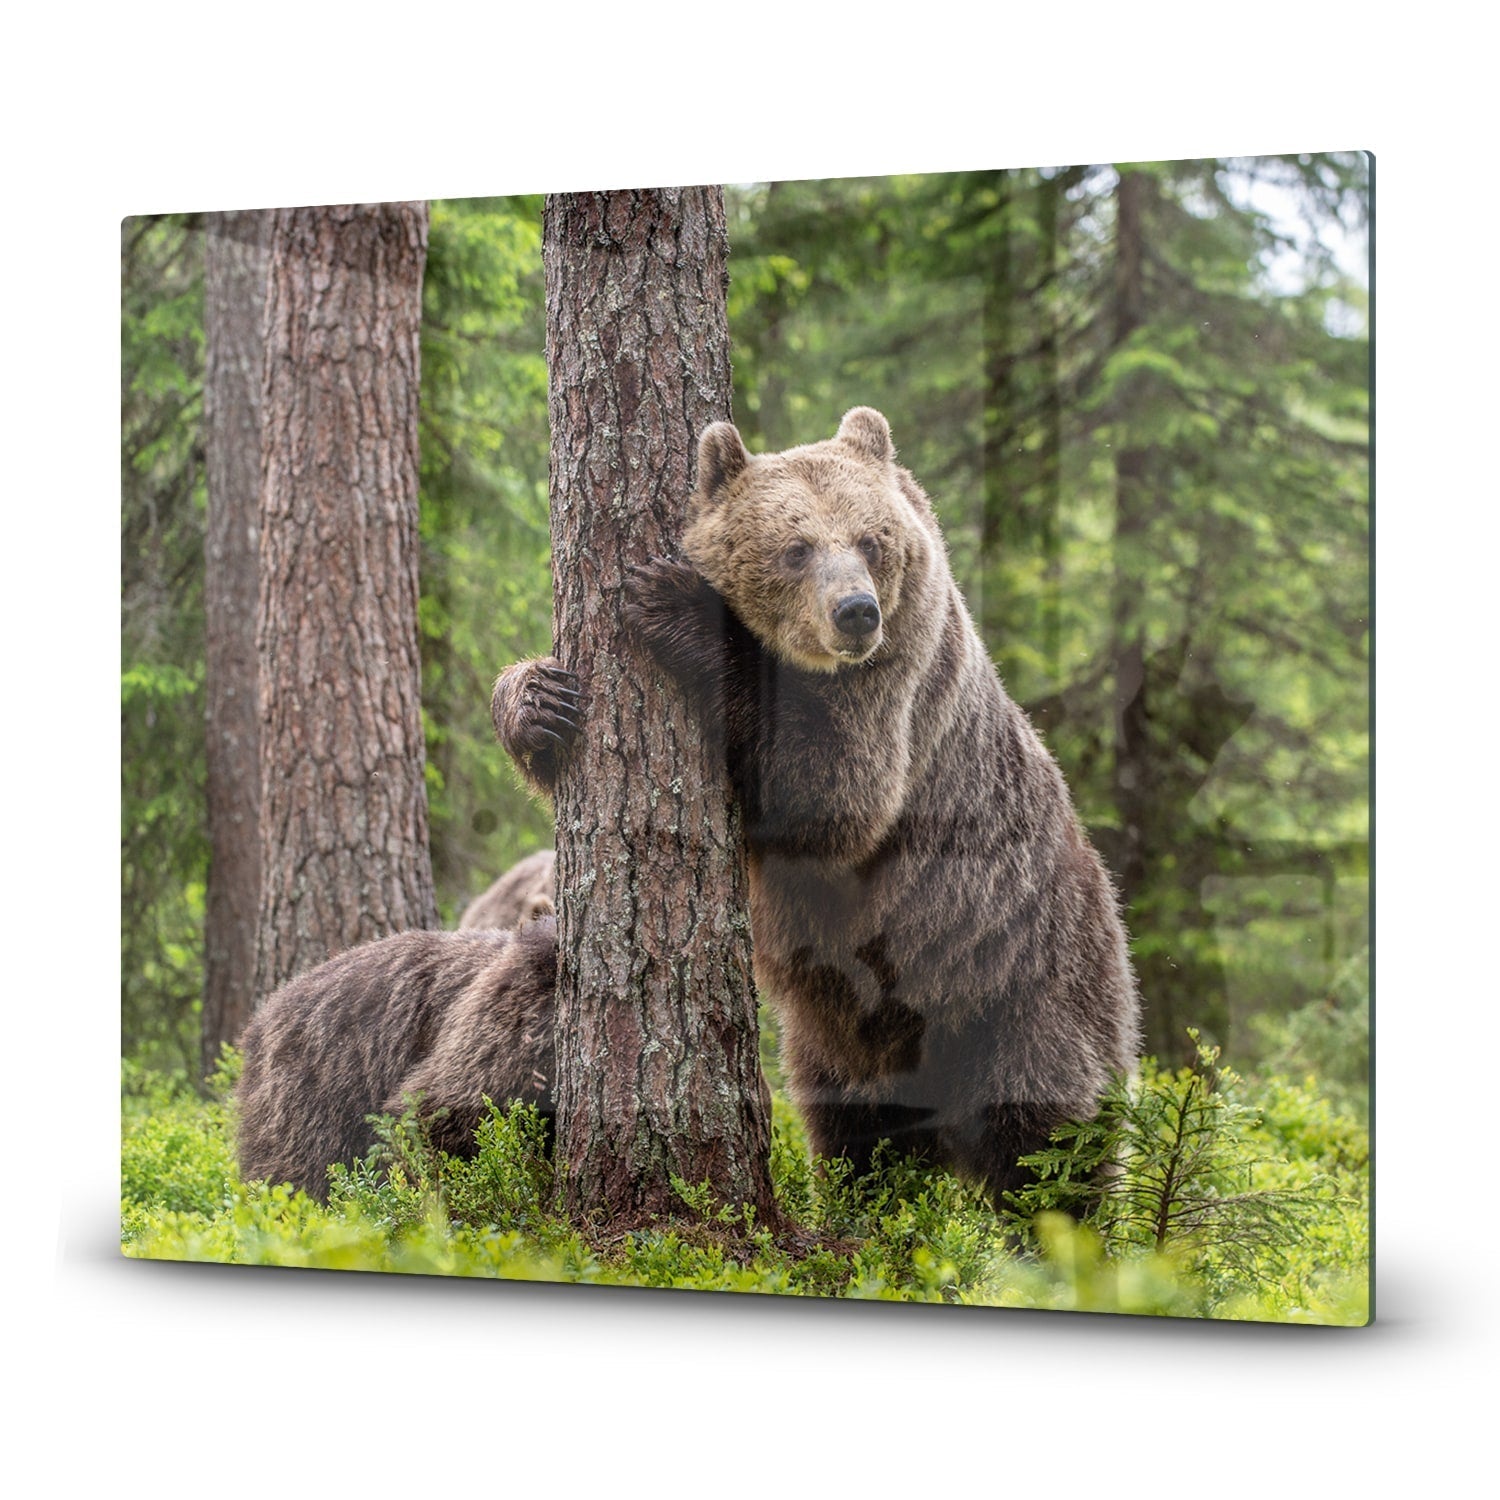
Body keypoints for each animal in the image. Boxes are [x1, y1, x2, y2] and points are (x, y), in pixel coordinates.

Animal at [492, 408, 1134, 1206]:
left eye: (870, 540)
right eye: (795, 548)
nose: (855, 612)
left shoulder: (898, 691)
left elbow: (833, 796)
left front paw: (678, 604)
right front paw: (539, 701)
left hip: (1024, 984)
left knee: (1047, 1137)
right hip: (845, 1032)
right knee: (859, 1130)